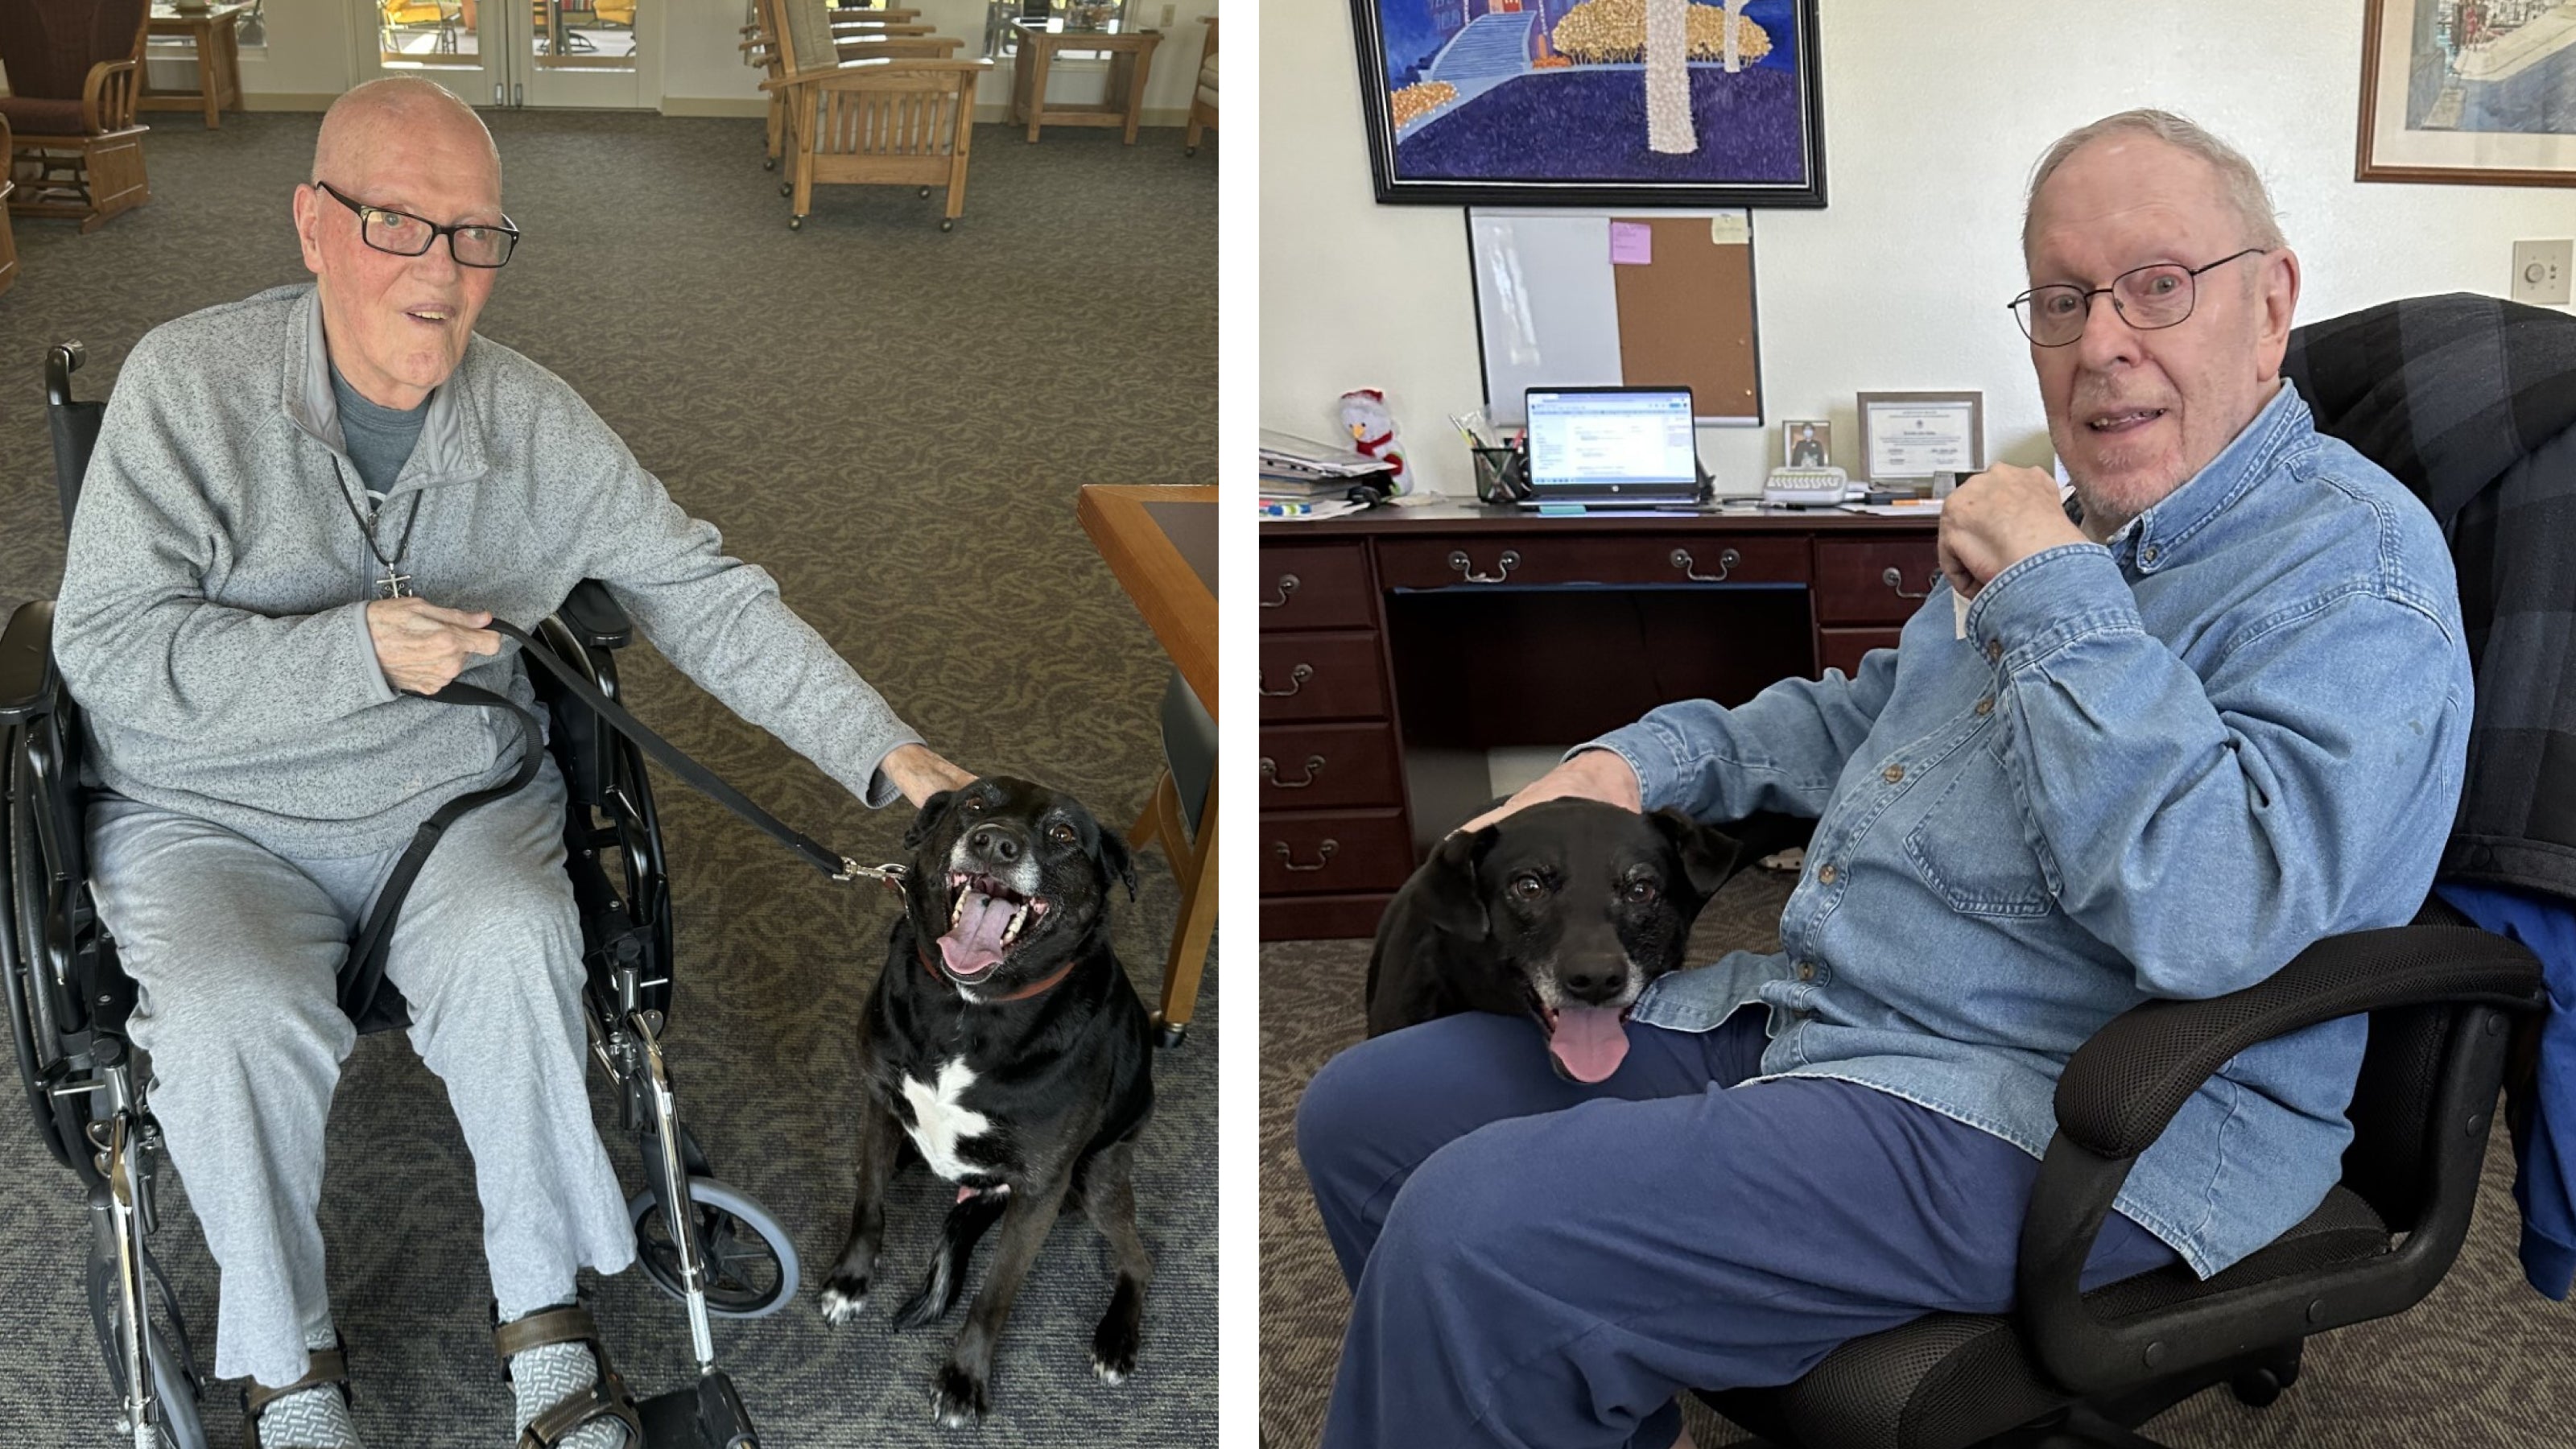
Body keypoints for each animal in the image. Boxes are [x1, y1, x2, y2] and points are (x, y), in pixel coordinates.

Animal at [819, 778, 1154, 1422]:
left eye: (1064, 833)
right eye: (975, 803)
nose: (994, 843)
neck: (968, 1007)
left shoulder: (1040, 1193)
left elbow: (995, 1294)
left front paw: (963, 1379)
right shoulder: (879, 1104)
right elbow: (867, 1203)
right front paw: (851, 1280)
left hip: (1095, 1179)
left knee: (1139, 1257)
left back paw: (1117, 1337)